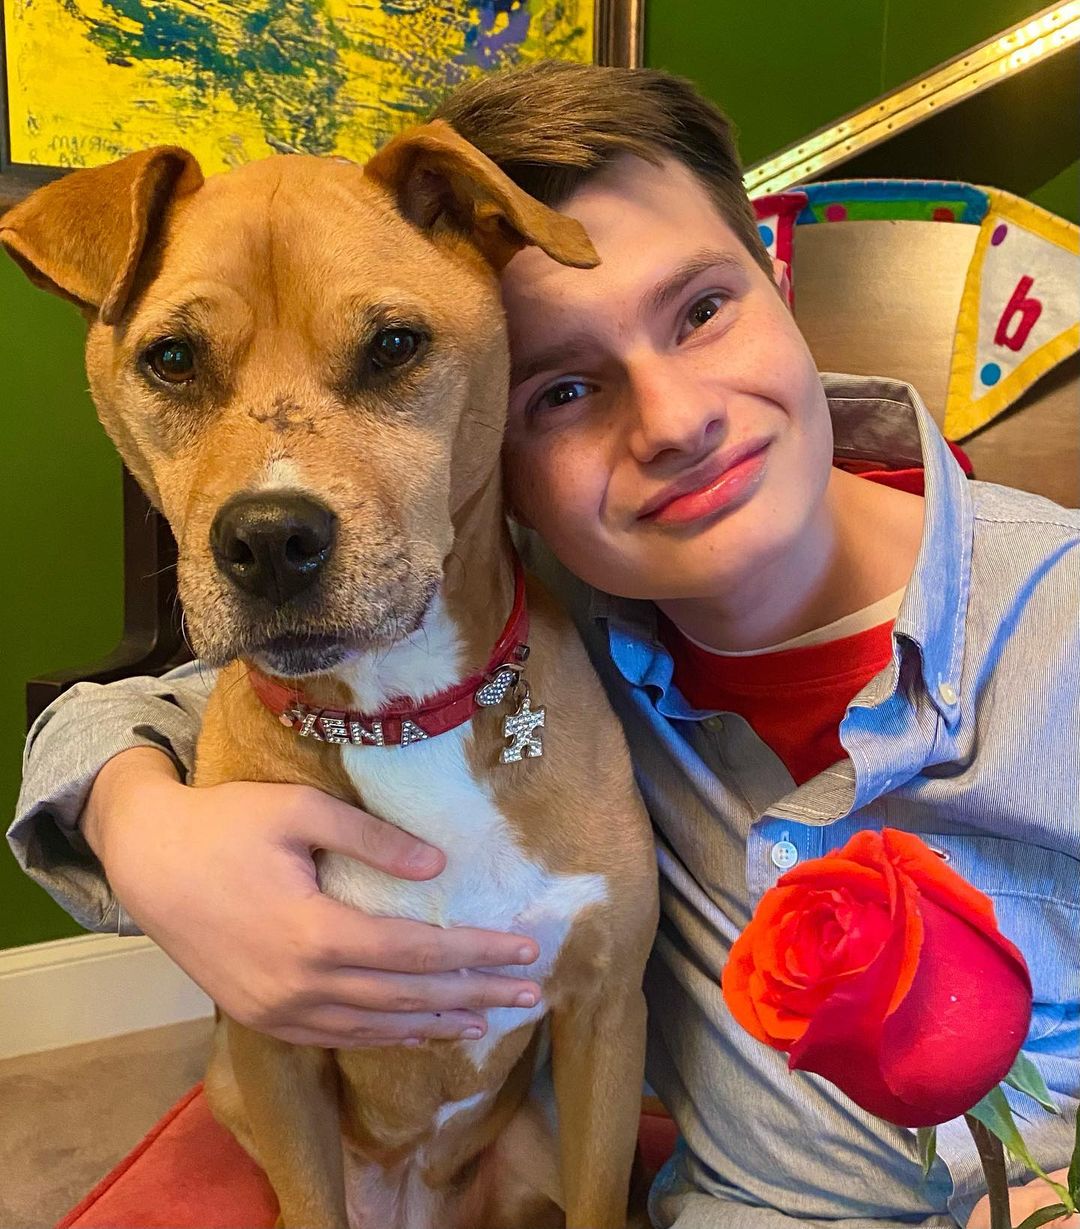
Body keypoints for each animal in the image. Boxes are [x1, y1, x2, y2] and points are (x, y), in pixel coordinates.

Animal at [2, 117, 658, 1229]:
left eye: (395, 344)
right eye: (170, 359)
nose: (269, 540)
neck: (403, 713)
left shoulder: (607, 1013)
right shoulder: (277, 1044)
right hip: (237, 1090)